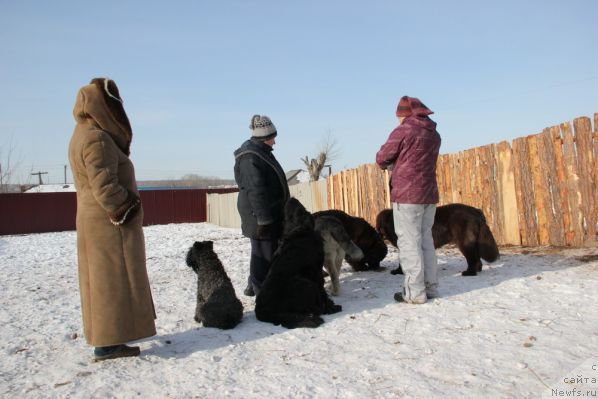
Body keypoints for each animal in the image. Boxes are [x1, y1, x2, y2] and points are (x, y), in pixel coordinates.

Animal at [255, 198, 344, 330]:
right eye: (302, 209)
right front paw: (331, 307)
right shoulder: (316, 272)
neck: (298, 231)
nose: (291, 198)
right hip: (305, 282)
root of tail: (264, 312)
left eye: (287, 214)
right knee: (315, 309)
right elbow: (322, 291)